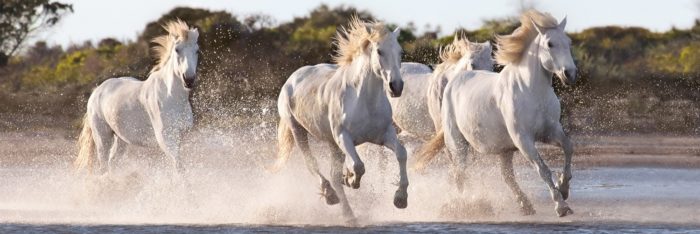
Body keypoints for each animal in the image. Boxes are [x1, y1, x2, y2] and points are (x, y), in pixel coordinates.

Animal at [76, 20, 200, 175]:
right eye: (177, 49)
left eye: (197, 50)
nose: (188, 80)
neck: (171, 97)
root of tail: (96, 91)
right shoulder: (166, 138)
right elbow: (178, 166)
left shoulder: (180, 136)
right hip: (102, 137)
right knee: (103, 165)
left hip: (121, 139)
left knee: (112, 163)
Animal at [272, 16, 404, 223]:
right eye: (379, 51)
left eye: (400, 52)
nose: (396, 86)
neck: (364, 100)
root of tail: (292, 79)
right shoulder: (343, 137)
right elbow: (358, 166)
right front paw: (351, 179)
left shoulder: (384, 135)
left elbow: (401, 154)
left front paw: (400, 198)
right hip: (298, 130)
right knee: (312, 164)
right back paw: (332, 197)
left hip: (332, 144)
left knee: (333, 175)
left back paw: (348, 213)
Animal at [416, 10, 576, 217]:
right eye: (550, 44)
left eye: (568, 42)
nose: (570, 73)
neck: (532, 91)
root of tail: (455, 79)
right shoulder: (523, 139)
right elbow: (543, 169)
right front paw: (561, 205)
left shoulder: (550, 132)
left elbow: (568, 147)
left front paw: (564, 188)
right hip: (457, 143)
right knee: (460, 174)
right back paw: (465, 206)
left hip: (504, 149)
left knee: (505, 176)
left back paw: (525, 205)